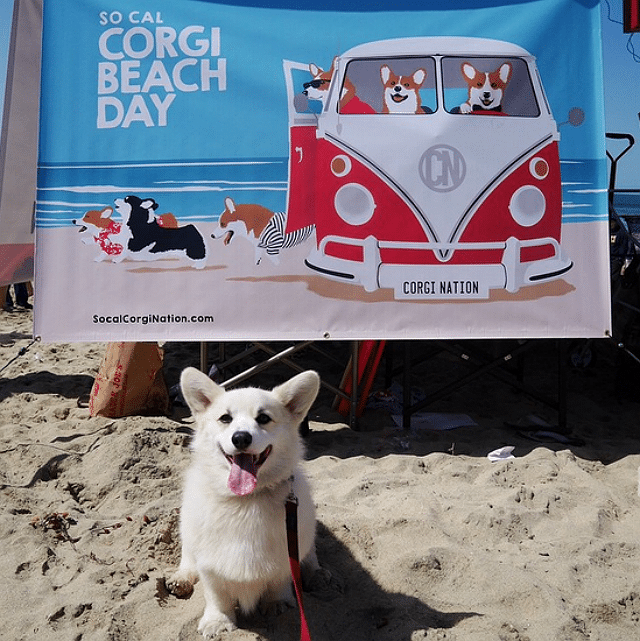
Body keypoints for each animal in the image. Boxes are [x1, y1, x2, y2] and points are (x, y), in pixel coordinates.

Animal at [168, 368, 322, 636]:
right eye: (225, 418)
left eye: (263, 418)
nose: (240, 438)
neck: (245, 501)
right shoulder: (210, 566)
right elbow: (216, 595)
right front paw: (217, 621)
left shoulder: (285, 555)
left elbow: (279, 581)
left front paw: (277, 603)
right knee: (187, 558)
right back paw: (182, 578)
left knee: (310, 554)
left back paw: (317, 574)